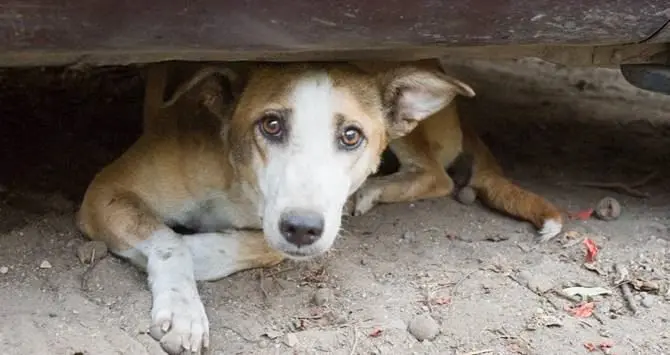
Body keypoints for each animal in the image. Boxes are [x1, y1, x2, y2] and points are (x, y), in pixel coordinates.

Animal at [77, 60, 472, 354]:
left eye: (351, 136)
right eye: (271, 124)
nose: (301, 227)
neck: (240, 186)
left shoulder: (311, 225)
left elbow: (264, 246)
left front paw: (196, 255)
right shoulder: (105, 191)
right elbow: (168, 240)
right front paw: (182, 308)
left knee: (438, 176)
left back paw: (371, 190)